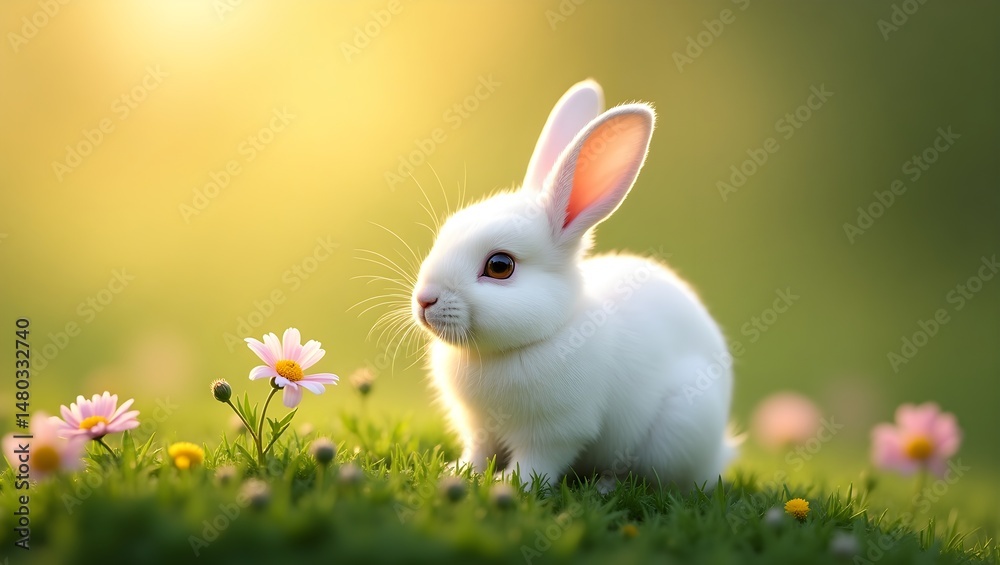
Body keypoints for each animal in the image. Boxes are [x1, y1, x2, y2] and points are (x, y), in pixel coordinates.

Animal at [411, 79, 736, 490]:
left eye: (500, 266)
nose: (425, 300)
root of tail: (720, 453)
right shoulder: (478, 426)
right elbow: (479, 451)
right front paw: (458, 472)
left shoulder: (556, 432)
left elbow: (537, 462)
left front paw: (511, 485)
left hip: (677, 431)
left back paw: (604, 487)